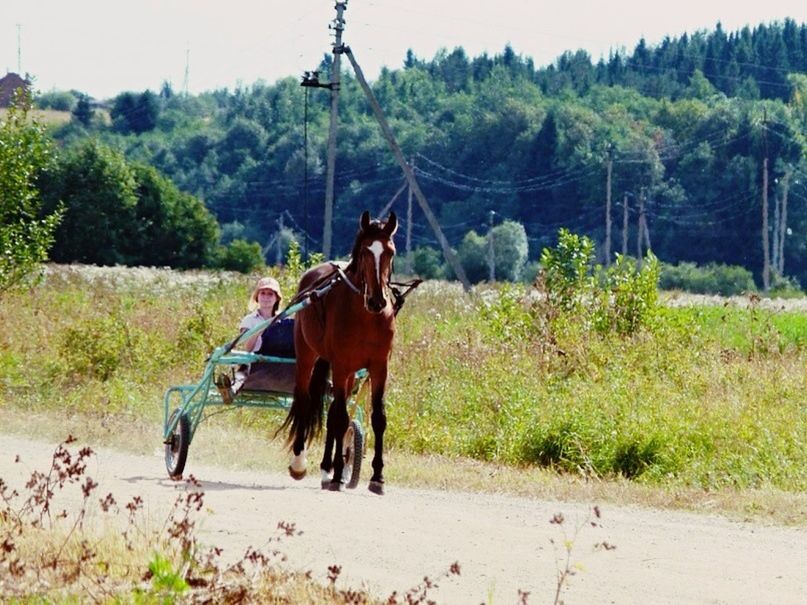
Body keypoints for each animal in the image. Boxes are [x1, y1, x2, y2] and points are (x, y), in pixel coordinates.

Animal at [280, 210, 400, 494]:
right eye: (365, 251)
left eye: (390, 251)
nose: (377, 300)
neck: (367, 316)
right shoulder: (342, 364)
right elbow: (341, 417)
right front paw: (336, 474)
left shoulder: (379, 366)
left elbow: (377, 418)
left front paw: (377, 477)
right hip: (308, 357)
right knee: (307, 403)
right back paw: (303, 464)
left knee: (332, 412)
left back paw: (327, 469)